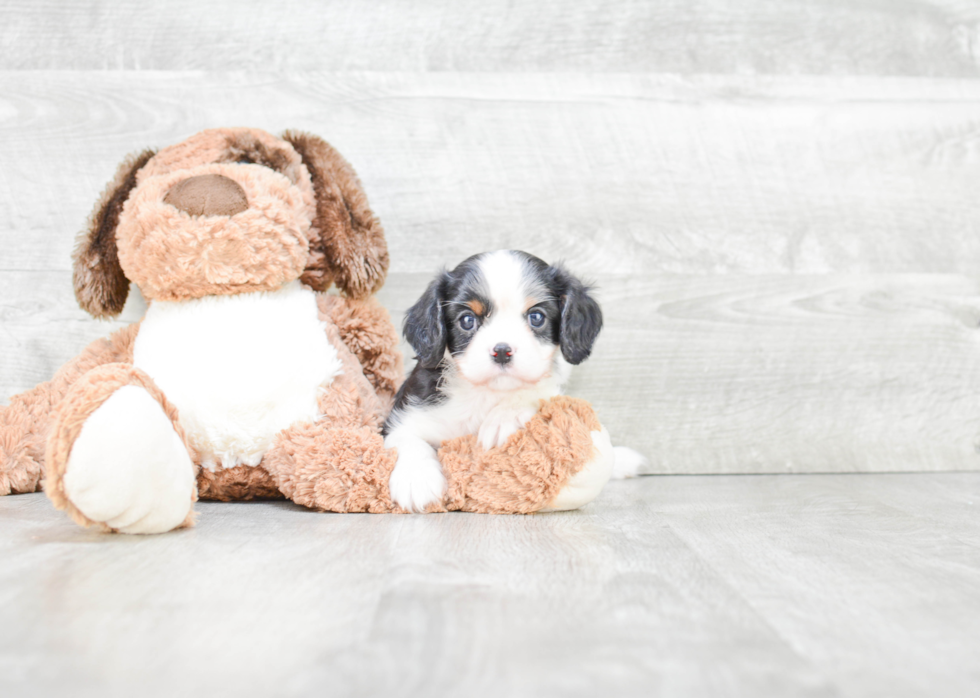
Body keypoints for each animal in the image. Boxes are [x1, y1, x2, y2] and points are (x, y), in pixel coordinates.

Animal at [380, 250, 644, 512]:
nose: (502, 351)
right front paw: (417, 478)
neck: (486, 393)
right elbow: (409, 439)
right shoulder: (406, 416)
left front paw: (504, 417)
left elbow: (539, 388)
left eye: (536, 317)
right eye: (467, 320)